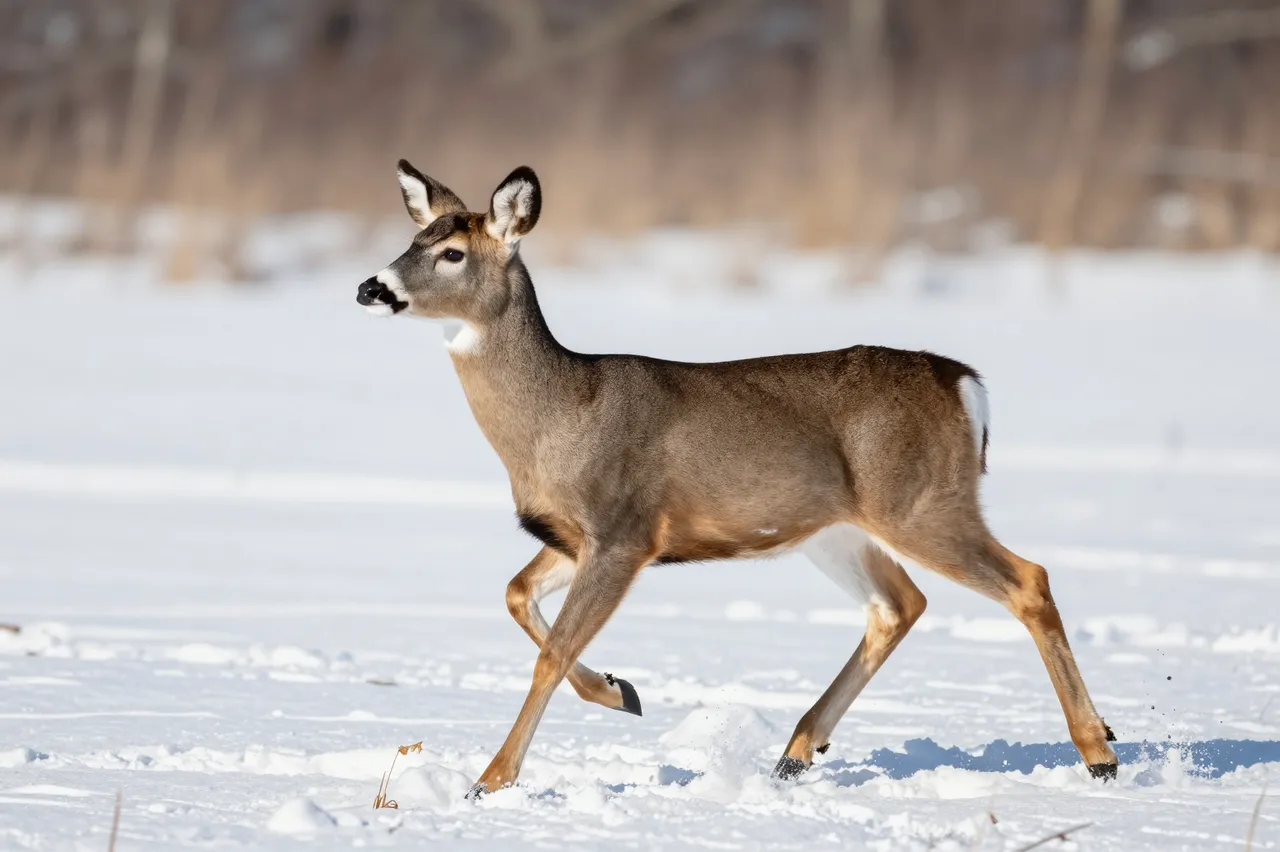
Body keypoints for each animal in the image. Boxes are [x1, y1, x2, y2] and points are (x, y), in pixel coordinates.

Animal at [355, 161, 1119, 797]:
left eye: (452, 253)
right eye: (414, 237)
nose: (371, 287)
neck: (561, 413)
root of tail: (967, 384)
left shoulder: (625, 529)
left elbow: (554, 650)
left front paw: (490, 780)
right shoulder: (575, 536)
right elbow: (517, 596)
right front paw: (621, 691)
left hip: (920, 502)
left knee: (1028, 580)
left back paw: (1100, 751)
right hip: (837, 529)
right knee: (899, 604)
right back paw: (797, 750)